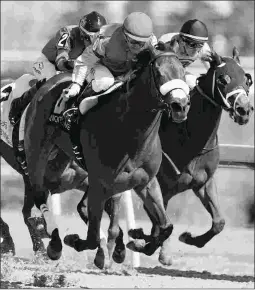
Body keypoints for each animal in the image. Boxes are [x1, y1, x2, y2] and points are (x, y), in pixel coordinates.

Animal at [23, 47, 191, 268]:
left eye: (182, 72)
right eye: (159, 72)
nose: (180, 105)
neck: (130, 130)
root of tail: (48, 83)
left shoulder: (146, 182)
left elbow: (165, 227)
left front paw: (139, 242)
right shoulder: (100, 184)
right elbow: (93, 236)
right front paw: (75, 241)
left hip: (60, 160)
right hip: (37, 154)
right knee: (39, 194)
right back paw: (55, 244)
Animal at [126, 46, 254, 264]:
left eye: (247, 80)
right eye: (223, 79)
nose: (243, 110)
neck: (190, 140)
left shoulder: (203, 183)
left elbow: (219, 222)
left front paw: (187, 238)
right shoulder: (160, 187)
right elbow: (160, 226)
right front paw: (141, 241)